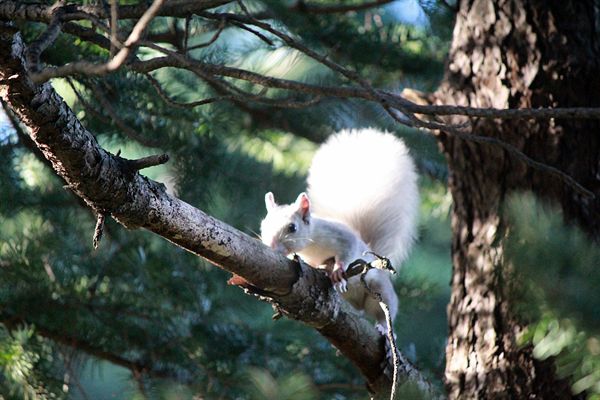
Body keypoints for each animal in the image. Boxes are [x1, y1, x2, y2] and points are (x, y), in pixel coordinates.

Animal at [260, 129, 420, 334]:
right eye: (264, 224)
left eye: (292, 227)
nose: (270, 245)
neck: (311, 247)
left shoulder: (340, 235)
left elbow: (347, 250)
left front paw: (337, 269)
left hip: (378, 288)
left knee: (384, 309)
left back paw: (384, 327)